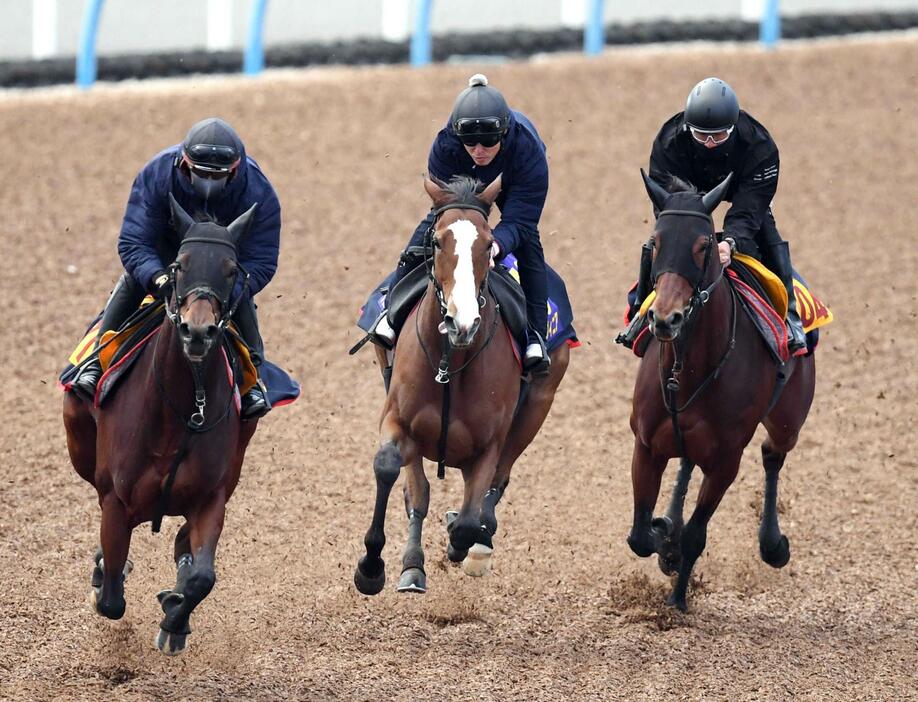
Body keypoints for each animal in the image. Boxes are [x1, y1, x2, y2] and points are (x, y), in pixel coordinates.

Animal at [64, 194, 258, 656]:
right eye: (180, 265)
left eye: (231, 270)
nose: (198, 331)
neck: (184, 411)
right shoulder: (117, 500)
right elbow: (111, 598)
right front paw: (106, 574)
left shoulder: (211, 498)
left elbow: (202, 576)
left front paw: (174, 617)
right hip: (79, 444)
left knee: (184, 543)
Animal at [358, 175, 568, 592]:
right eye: (438, 241)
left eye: (488, 244)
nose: (462, 322)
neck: (450, 364)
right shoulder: (398, 419)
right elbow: (392, 471)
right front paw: (372, 568)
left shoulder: (489, 444)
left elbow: (472, 515)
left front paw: (463, 540)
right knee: (418, 491)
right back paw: (413, 565)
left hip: (538, 403)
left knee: (496, 486)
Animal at [624, 170, 820, 612]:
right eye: (655, 242)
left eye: (704, 245)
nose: (665, 318)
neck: (690, 368)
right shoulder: (646, 444)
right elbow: (640, 535)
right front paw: (665, 537)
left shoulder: (727, 460)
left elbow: (695, 535)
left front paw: (677, 598)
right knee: (687, 463)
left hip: (789, 418)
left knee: (773, 454)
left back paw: (773, 544)